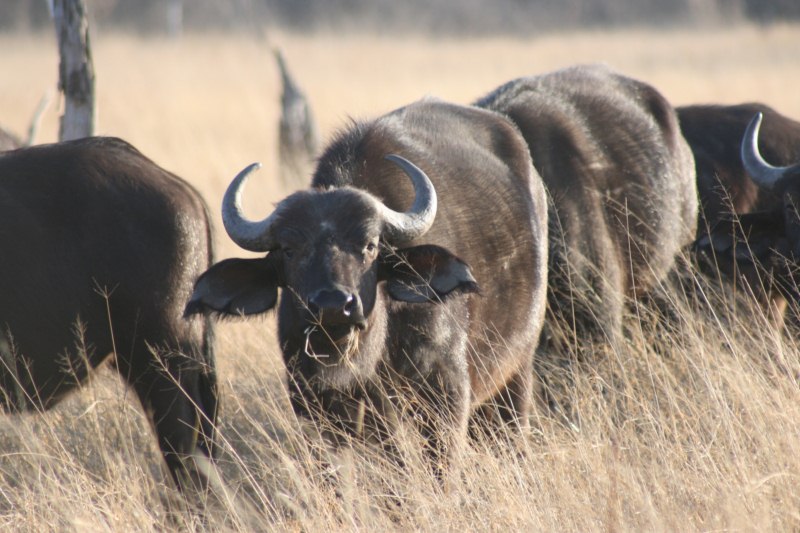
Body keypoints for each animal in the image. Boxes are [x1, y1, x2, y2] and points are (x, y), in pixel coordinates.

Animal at [186, 97, 552, 476]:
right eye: (289, 250)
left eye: (371, 245)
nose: (334, 306)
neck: (365, 358)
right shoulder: (314, 406)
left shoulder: (446, 393)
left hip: (518, 369)